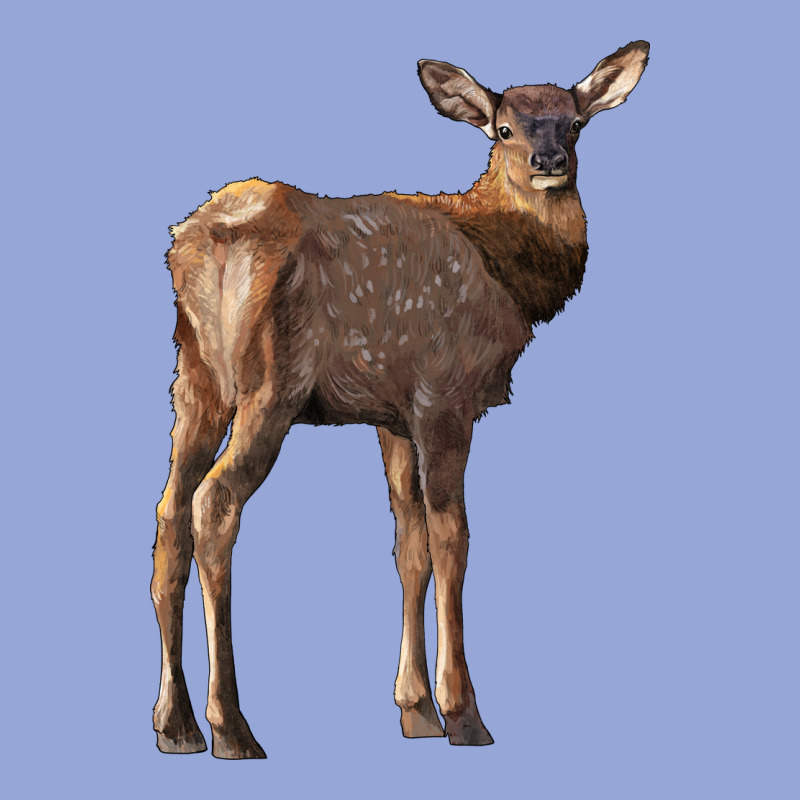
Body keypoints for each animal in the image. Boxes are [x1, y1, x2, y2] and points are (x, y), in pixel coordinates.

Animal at [152, 41, 649, 759]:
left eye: (576, 123)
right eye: (503, 130)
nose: (549, 162)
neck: (506, 272)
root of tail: (206, 239)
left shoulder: (390, 412)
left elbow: (408, 543)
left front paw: (414, 710)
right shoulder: (446, 393)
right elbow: (452, 537)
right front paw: (463, 715)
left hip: (195, 376)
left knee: (169, 512)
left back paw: (176, 724)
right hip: (270, 382)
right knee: (213, 503)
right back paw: (232, 726)